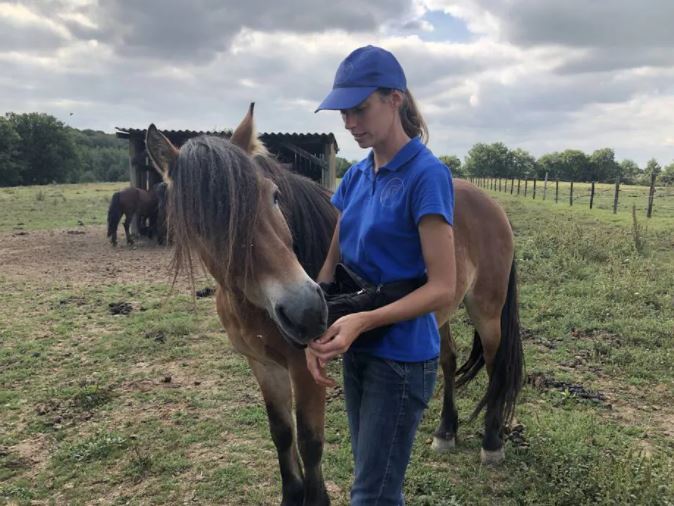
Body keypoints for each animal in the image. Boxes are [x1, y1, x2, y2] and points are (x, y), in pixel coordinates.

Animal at [146, 105, 524, 504]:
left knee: (496, 367)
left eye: (274, 196)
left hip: (487, 311)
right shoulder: (263, 365)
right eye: (203, 223)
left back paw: (492, 442)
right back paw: (445, 432)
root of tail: (488, 202)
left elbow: (310, 442)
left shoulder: (304, 368)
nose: (306, 311)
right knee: (449, 360)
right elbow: (282, 434)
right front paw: (291, 496)